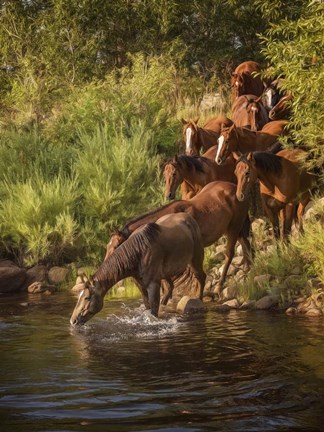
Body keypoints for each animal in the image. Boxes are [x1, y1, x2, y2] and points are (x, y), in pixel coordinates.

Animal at [71, 213, 208, 324]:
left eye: (87, 297)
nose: (73, 320)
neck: (139, 252)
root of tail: (189, 218)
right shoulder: (141, 285)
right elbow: (148, 307)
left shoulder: (153, 284)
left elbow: (153, 311)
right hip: (166, 274)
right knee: (170, 287)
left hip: (195, 260)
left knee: (201, 277)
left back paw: (199, 301)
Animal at [105, 181, 252, 296]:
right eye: (108, 246)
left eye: (116, 246)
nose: (108, 265)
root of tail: (236, 188)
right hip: (232, 228)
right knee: (245, 243)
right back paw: (248, 267)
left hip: (234, 227)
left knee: (229, 254)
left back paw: (219, 286)